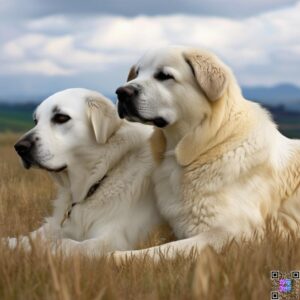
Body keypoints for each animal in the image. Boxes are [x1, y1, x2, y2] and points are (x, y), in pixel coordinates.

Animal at [5, 87, 163, 255]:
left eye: (61, 118)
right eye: (36, 121)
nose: (20, 147)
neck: (101, 176)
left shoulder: (114, 239)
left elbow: (67, 245)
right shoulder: (57, 223)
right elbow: (29, 237)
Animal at [114, 45, 300, 260]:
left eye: (164, 76)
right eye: (137, 73)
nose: (121, 92)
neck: (207, 145)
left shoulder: (236, 233)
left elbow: (160, 251)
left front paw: (114, 257)